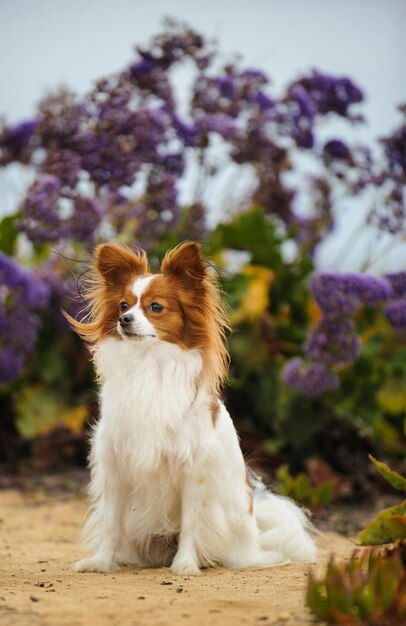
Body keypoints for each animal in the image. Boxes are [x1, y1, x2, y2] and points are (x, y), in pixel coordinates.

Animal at [66, 241, 316, 572]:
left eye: (155, 307)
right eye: (123, 306)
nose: (125, 320)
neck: (149, 363)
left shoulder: (192, 470)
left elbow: (190, 523)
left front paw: (185, 565)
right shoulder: (116, 465)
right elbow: (110, 522)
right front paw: (101, 561)